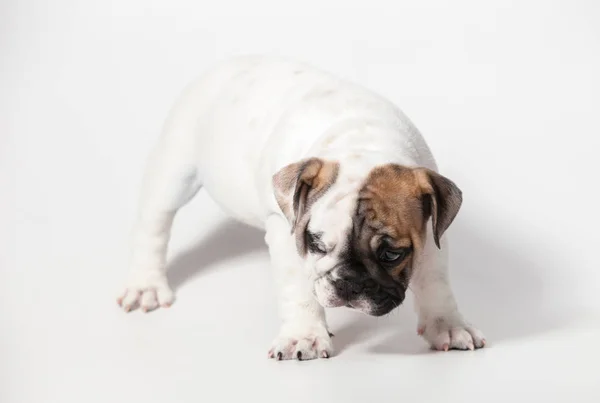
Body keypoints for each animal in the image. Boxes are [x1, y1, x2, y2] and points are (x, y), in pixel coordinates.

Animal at [115, 53, 486, 360]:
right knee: (154, 223)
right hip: (175, 169)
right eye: (316, 244)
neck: (363, 142)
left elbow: (436, 282)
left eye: (392, 255)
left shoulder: (431, 233)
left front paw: (448, 326)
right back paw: (146, 285)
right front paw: (304, 337)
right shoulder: (287, 233)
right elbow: (299, 290)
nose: (349, 283)